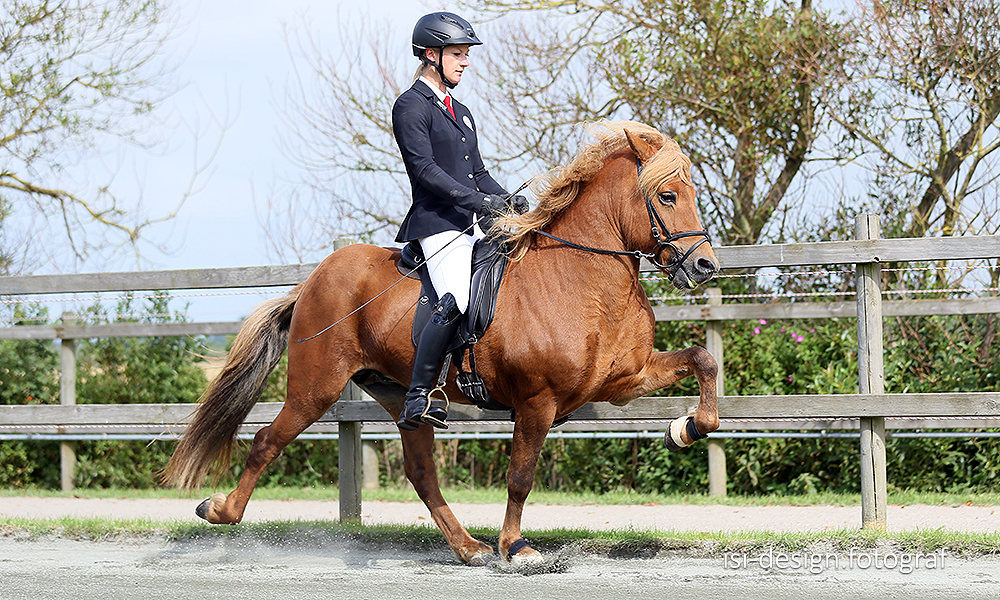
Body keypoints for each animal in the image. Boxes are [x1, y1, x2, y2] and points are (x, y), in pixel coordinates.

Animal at [168, 120, 724, 564]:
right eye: (668, 196)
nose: (705, 266)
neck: (581, 279)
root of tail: (313, 279)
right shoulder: (537, 401)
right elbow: (521, 476)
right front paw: (517, 548)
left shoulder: (623, 380)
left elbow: (702, 360)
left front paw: (687, 428)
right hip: (315, 386)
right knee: (267, 441)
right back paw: (219, 509)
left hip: (398, 394)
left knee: (421, 472)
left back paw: (468, 547)